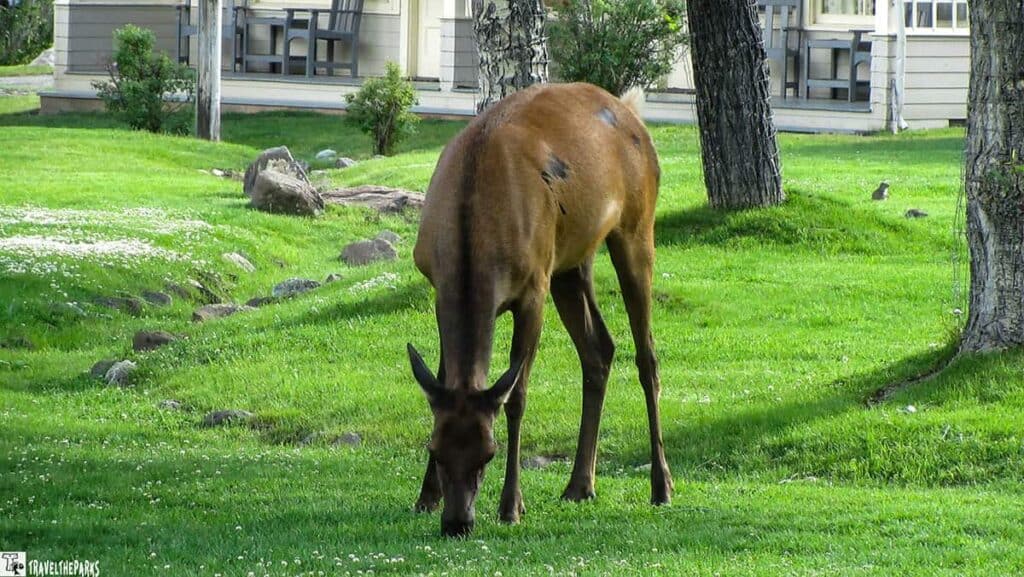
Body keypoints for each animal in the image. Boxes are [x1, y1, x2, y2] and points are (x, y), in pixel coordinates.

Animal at [407, 82, 672, 537]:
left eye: (489, 453)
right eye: (435, 448)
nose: (458, 523)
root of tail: (631, 110)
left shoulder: (533, 289)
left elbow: (516, 396)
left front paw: (511, 505)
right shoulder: (438, 288)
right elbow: (440, 379)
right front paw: (425, 497)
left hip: (635, 227)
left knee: (647, 357)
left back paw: (662, 486)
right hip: (570, 262)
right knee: (599, 349)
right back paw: (580, 485)